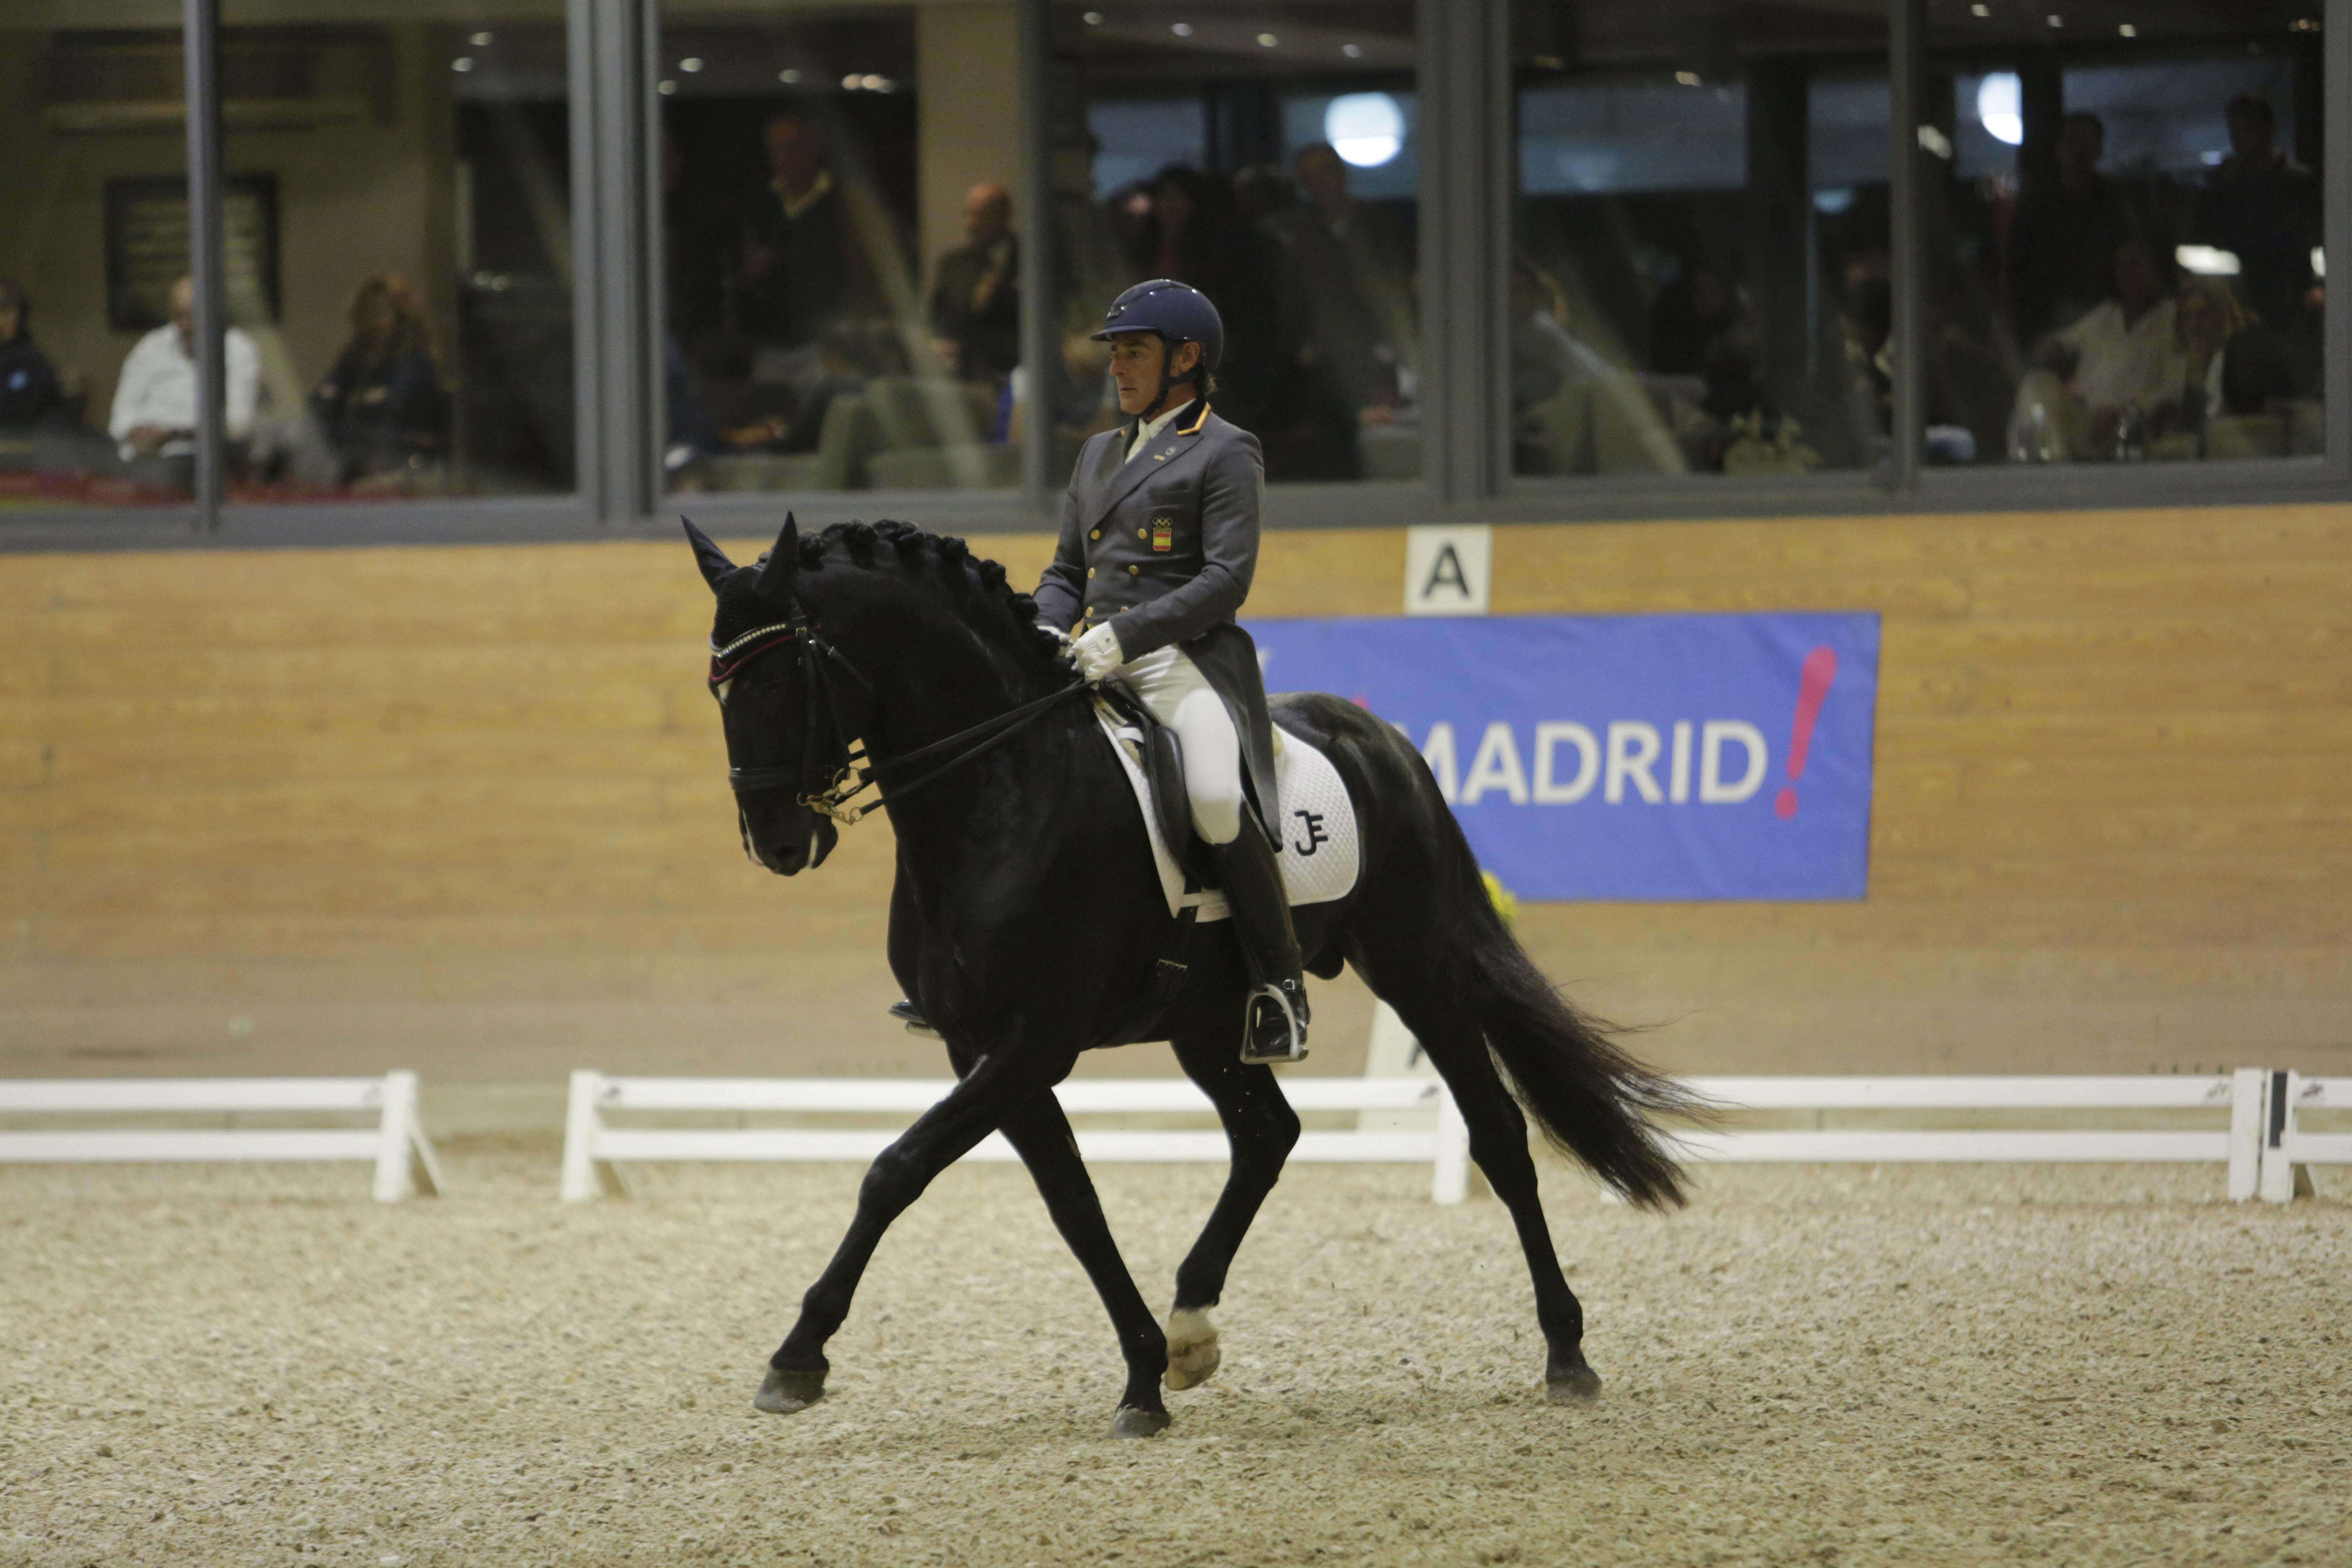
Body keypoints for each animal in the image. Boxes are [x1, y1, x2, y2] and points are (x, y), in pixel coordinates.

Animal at [682, 514, 1693, 1439]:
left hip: (1417, 967)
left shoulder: (1031, 1043)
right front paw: (1143, 1374)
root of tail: (1383, 739)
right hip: (1209, 1018)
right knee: (1268, 1136)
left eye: (774, 679)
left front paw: (797, 1358)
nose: (777, 844)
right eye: (717, 688)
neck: (1002, 789)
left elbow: (896, 1171)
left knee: (1497, 1135)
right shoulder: (984, 1050)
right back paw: (1192, 1327)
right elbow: (1073, 1204)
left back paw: (1568, 1355)